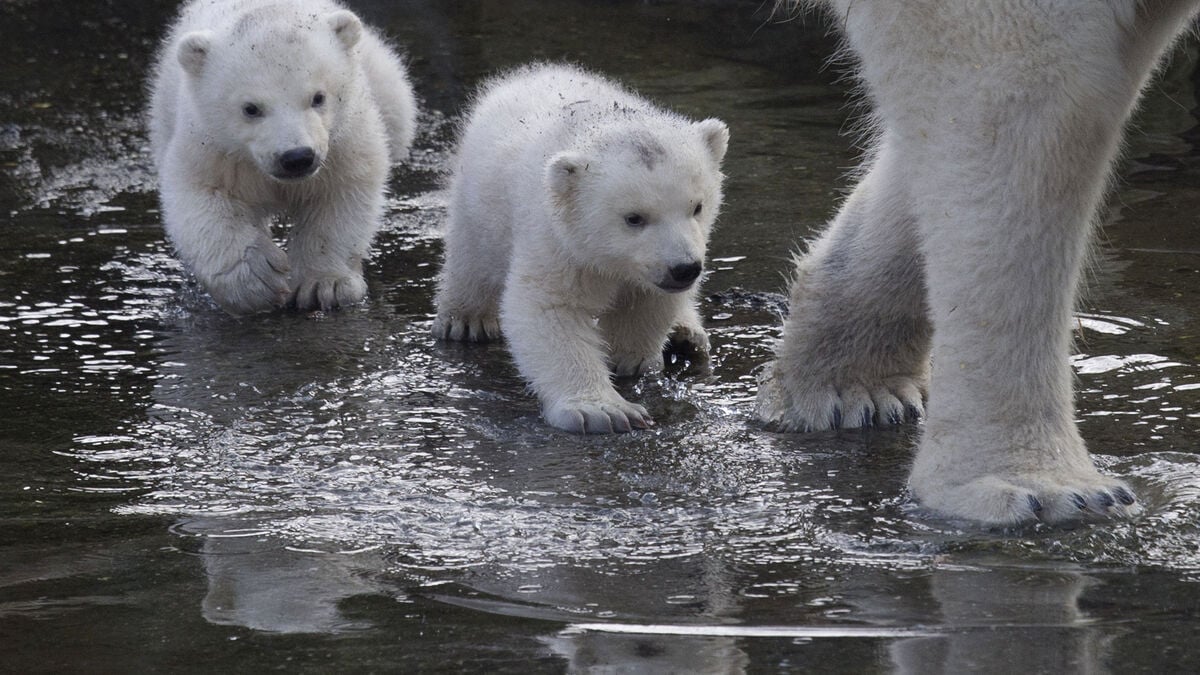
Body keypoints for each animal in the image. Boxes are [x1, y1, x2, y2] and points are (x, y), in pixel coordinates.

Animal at [147, 0, 417, 315]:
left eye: (319, 97)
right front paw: (255, 280)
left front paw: (323, 285)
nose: (297, 157)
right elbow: (202, 197)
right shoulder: (211, 145)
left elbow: (342, 194)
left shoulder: (343, 141)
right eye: (250, 108)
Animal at [432, 63, 729, 434]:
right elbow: (551, 308)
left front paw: (630, 357)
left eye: (697, 206)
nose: (684, 268)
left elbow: (648, 300)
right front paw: (604, 410)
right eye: (634, 218)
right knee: (471, 255)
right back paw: (465, 320)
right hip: (481, 199)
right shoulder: (557, 239)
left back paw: (687, 336)